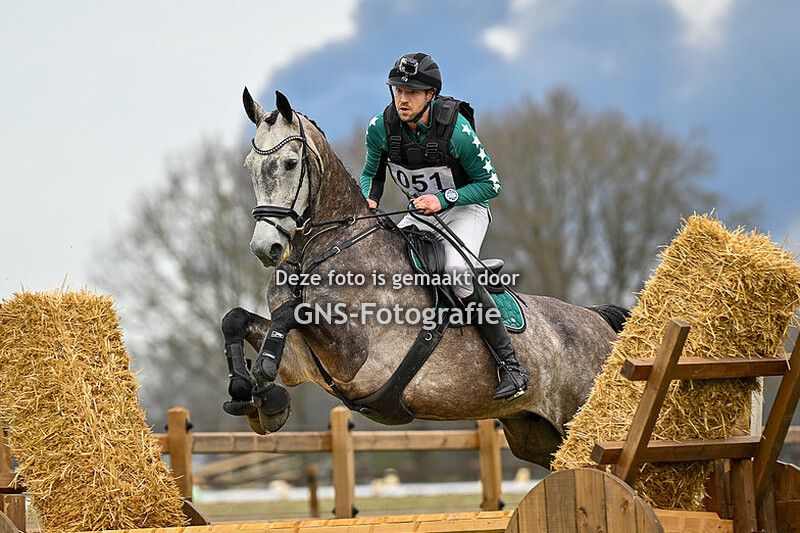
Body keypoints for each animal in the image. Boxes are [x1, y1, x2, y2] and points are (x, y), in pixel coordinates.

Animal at [220, 89, 626, 469]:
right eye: (250, 165)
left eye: (290, 164)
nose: (266, 248)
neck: (328, 246)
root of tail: (599, 321)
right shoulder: (303, 362)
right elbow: (236, 318)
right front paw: (248, 393)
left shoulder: (351, 356)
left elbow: (288, 313)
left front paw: (263, 376)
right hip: (537, 436)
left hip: (580, 424)